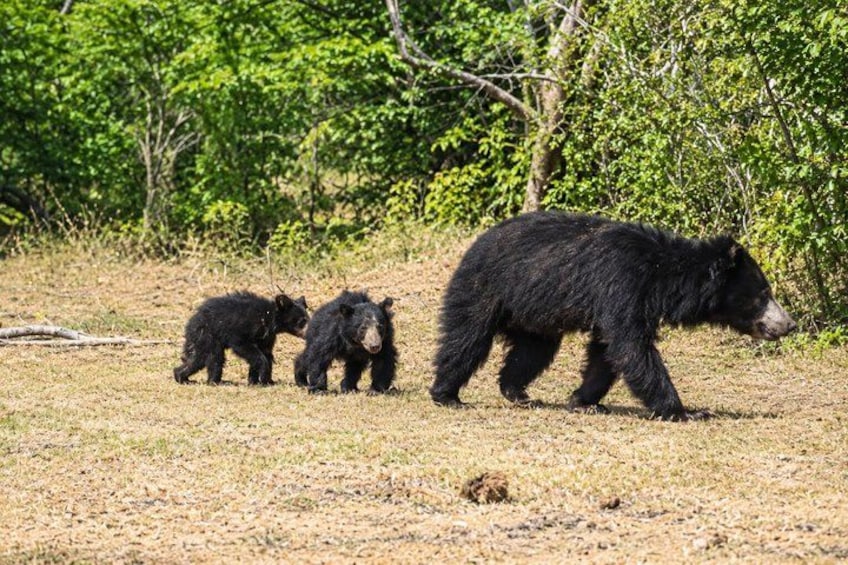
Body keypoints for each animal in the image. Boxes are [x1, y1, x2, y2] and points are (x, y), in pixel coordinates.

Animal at [174, 291, 309, 385]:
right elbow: (243, 346)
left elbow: (267, 353)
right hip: (208, 335)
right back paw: (215, 381)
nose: (308, 334)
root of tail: (191, 323)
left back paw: (181, 376)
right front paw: (262, 376)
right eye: (302, 321)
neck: (269, 318)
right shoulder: (244, 327)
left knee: (197, 359)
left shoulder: (267, 336)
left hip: (201, 339)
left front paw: (260, 380)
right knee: (215, 358)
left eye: (306, 318)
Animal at [430, 211, 796, 420]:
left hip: (536, 313)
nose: (789, 324)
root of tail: (476, 244)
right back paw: (447, 395)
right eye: (764, 294)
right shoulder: (622, 284)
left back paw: (517, 392)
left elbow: (607, 352)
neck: (661, 276)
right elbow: (630, 346)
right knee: (466, 338)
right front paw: (686, 411)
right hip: (485, 289)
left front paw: (583, 400)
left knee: (532, 352)